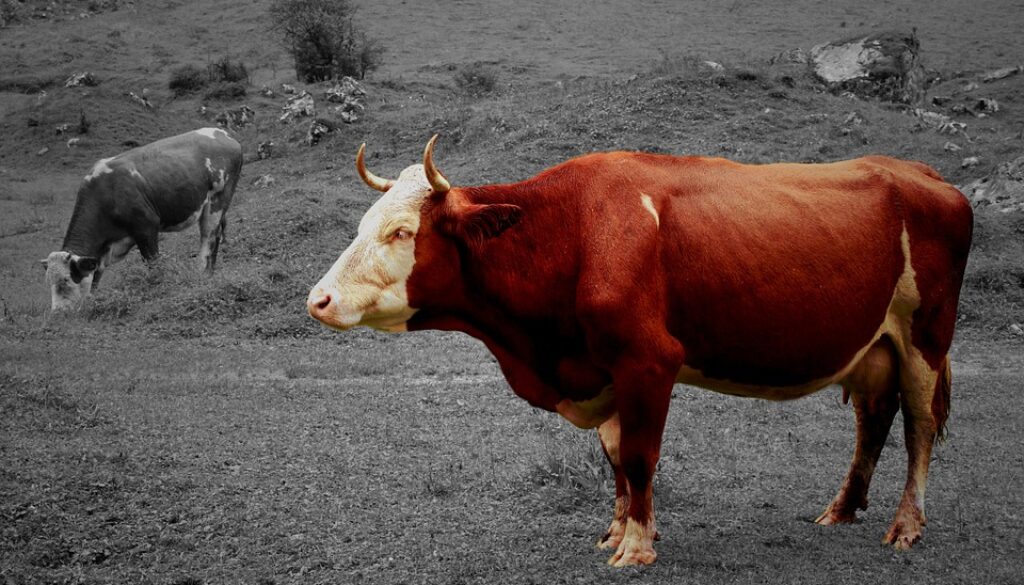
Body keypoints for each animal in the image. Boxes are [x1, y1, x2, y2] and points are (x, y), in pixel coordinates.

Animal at [42, 127, 243, 311]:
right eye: (49, 281)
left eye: (66, 279)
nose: (58, 312)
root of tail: (223, 133)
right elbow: (95, 276)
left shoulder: (146, 226)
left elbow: (153, 263)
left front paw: (159, 287)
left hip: (218, 200)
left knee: (209, 236)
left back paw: (202, 272)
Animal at [306, 136, 973, 566]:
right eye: (363, 224)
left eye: (402, 232)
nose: (319, 299)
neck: (576, 231)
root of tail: (925, 176)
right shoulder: (604, 370)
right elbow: (614, 460)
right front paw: (617, 530)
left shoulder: (649, 362)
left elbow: (638, 458)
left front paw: (636, 547)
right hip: (874, 346)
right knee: (873, 422)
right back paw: (841, 510)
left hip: (925, 339)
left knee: (917, 426)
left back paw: (906, 526)